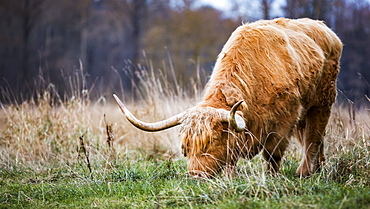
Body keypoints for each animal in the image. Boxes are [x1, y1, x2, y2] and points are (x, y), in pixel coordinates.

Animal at [114, 17, 342, 178]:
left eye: (212, 141)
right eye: (186, 147)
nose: (196, 175)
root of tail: (326, 29)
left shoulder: (285, 120)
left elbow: (272, 153)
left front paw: (272, 177)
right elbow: (231, 156)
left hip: (322, 101)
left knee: (314, 135)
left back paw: (305, 172)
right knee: (314, 137)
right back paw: (318, 168)